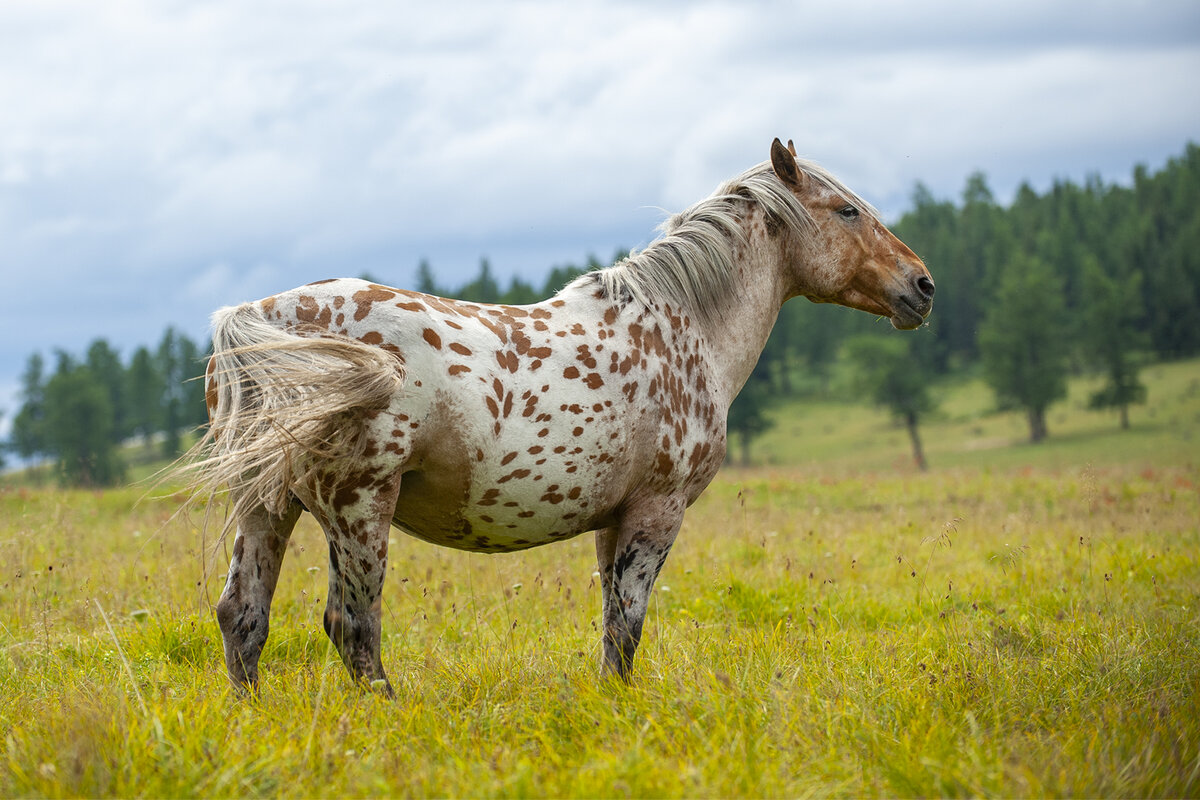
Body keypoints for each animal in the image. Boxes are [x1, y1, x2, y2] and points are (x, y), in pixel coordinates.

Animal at [189, 140, 936, 695]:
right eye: (846, 210)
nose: (922, 285)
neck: (683, 325)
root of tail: (260, 316)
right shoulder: (657, 512)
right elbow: (628, 624)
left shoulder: (613, 521)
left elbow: (611, 628)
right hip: (358, 506)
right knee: (352, 626)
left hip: (266, 506)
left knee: (243, 617)